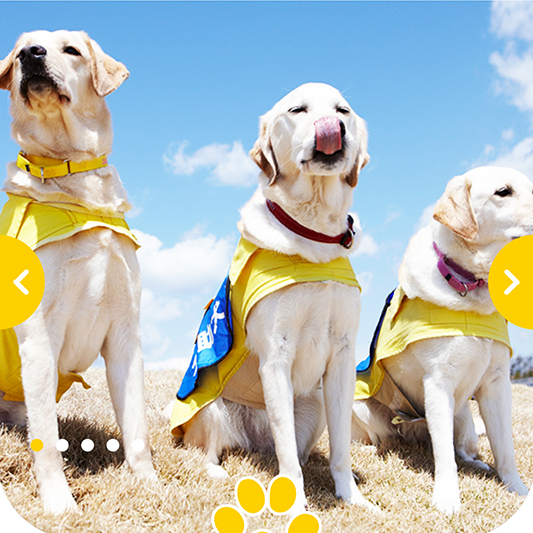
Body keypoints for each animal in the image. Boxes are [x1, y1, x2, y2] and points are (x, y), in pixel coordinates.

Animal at [0, 31, 155, 512]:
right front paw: (59, 503)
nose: (31, 55)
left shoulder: (126, 331)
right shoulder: (38, 337)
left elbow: (136, 427)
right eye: (21, 52)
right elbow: (47, 442)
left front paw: (149, 486)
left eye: (71, 50)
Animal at [166, 82, 374, 512]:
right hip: (209, 406)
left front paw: (353, 497)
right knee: (210, 450)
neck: (313, 235)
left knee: (289, 447)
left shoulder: (343, 354)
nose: (333, 128)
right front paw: (294, 506)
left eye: (343, 111)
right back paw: (216, 470)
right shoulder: (276, 353)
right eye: (298, 110)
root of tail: (251, 440)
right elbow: (287, 455)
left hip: (313, 406)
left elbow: (341, 448)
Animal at [352, 168, 528, 512]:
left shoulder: (497, 384)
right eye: (504, 192)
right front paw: (447, 499)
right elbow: (444, 456)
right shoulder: (437, 382)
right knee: (384, 439)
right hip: (361, 407)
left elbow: (505, 449)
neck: (472, 287)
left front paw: (517, 489)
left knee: (461, 448)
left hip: (464, 420)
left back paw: (477, 463)